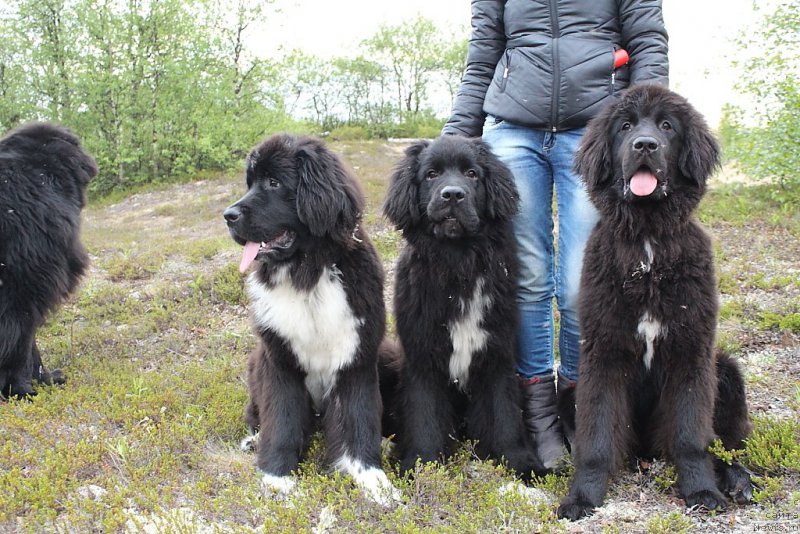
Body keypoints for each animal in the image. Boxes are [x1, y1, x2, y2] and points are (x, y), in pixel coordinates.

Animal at [222, 133, 400, 506]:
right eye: (249, 183)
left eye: (273, 183)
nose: (227, 215)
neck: (308, 272)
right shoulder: (279, 360)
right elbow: (282, 421)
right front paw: (277, 477)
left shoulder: (357, 358)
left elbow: (359, 419)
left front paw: (373, 479)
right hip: (256, 362)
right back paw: (253, 439)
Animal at [384, 136, 548, 480]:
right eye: (431, 174)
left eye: (472, 173)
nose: (452, 195)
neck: (457, 263)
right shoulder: (422, 354)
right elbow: (424, 412)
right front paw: (421, 463)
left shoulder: (497, 351)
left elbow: (504, 413)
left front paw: (521, 463)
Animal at [560, 86, 752, 520]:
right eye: (625, 126)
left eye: (667, 126)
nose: (644, 144)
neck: (647, 248)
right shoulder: (603, 354)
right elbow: (596, 438)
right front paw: (582, 497)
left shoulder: (691, 351)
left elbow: (691, 436)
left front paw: (702, 491)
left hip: (727, 372)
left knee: (731, 444)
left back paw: (738, 481)